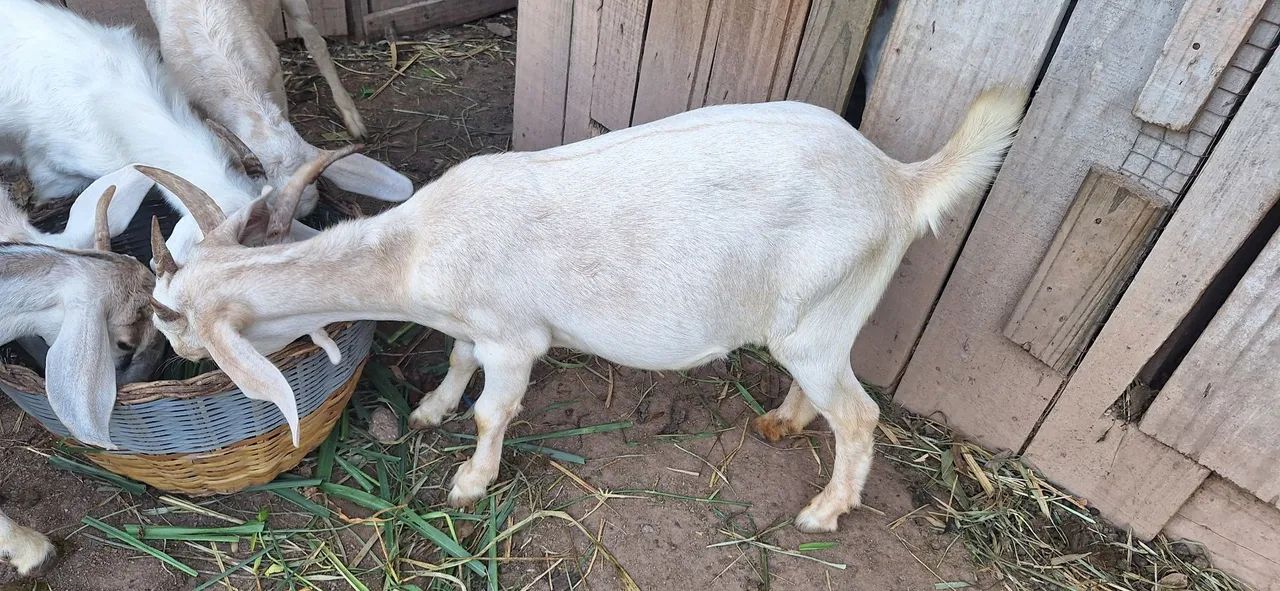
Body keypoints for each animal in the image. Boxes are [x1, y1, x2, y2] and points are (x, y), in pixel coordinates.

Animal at [138, 90, 1024, 532]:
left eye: (173, 314)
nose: (167, 353)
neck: (416, 247)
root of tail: (899, 182)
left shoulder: (514, 337)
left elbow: (493, 409)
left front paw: (468, 482)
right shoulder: (473, 327)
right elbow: (456, 364)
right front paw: (427, 409)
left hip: (819, 316)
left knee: (862, 413)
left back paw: (823, 510)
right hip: (815, 320)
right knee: (829, 394)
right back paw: (782, 422)